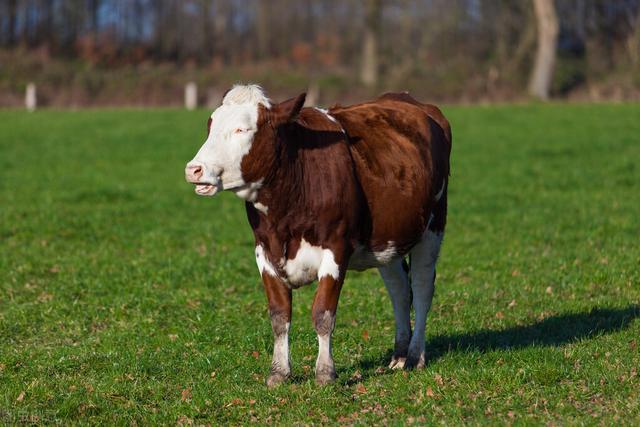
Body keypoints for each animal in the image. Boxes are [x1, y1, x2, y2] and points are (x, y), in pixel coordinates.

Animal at [185, 84, 450, 388]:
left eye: (242, 129)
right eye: (211, 125)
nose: (194, 169)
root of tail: (411, 100)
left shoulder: (336, 248)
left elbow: (323, 314)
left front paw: (325, 372)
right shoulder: (264, 250)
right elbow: (279, 315)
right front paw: (279, 372)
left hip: (433, 227)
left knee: (422, 288)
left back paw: (416, 355)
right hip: (388, 240)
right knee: (399, 291)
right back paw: (399, 355)